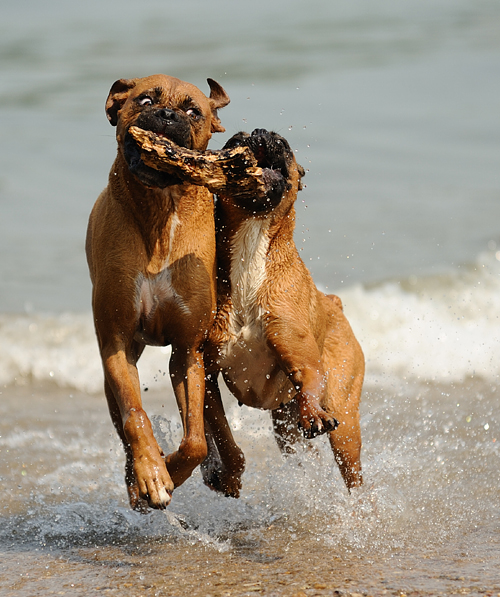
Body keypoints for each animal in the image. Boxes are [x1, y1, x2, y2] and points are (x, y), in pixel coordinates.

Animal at [86, 71, 230, 508]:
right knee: (123, 422)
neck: (159, 208)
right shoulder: (115, 342)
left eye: (192, 110)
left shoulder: (187, 352)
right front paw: (151, 473)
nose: (166, 115)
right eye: (145, 99)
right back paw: (136, 478)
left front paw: (173, 471)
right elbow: (135, 416)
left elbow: (196, 441)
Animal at [201, 128, 366, 496]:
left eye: (283, 143)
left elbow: (309, 380)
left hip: (345, 425)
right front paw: (228, 475)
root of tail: (334, 302)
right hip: (285, 429)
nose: (258, 132)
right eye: (235, 138)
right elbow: (223, 436)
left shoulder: (303, 359)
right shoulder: (205, 374)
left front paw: (314, 413)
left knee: (354, 474)